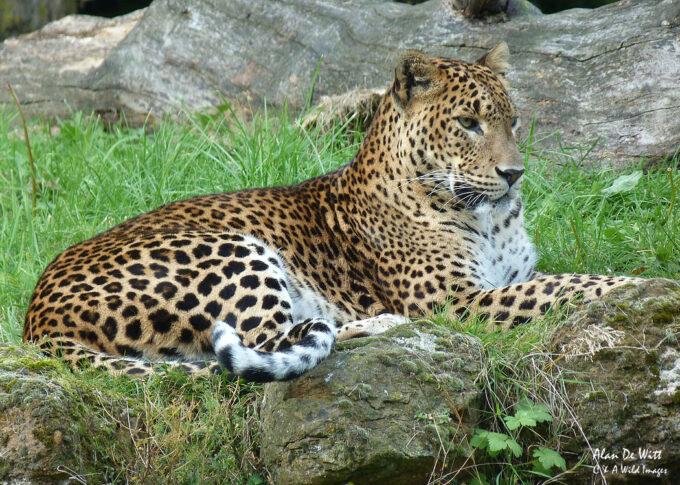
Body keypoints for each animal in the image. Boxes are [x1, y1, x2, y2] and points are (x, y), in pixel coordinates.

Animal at [24, 43, 639, 382]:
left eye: (513, 121)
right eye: (468, 124)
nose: (515, 174)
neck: (490, 218)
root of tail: (36, 319)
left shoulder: (506, 278)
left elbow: (557, 279)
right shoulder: (456, 301)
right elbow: (566, 285)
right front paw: (637, 286)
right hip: (233, 249)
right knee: (268, 344)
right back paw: (385, 324)